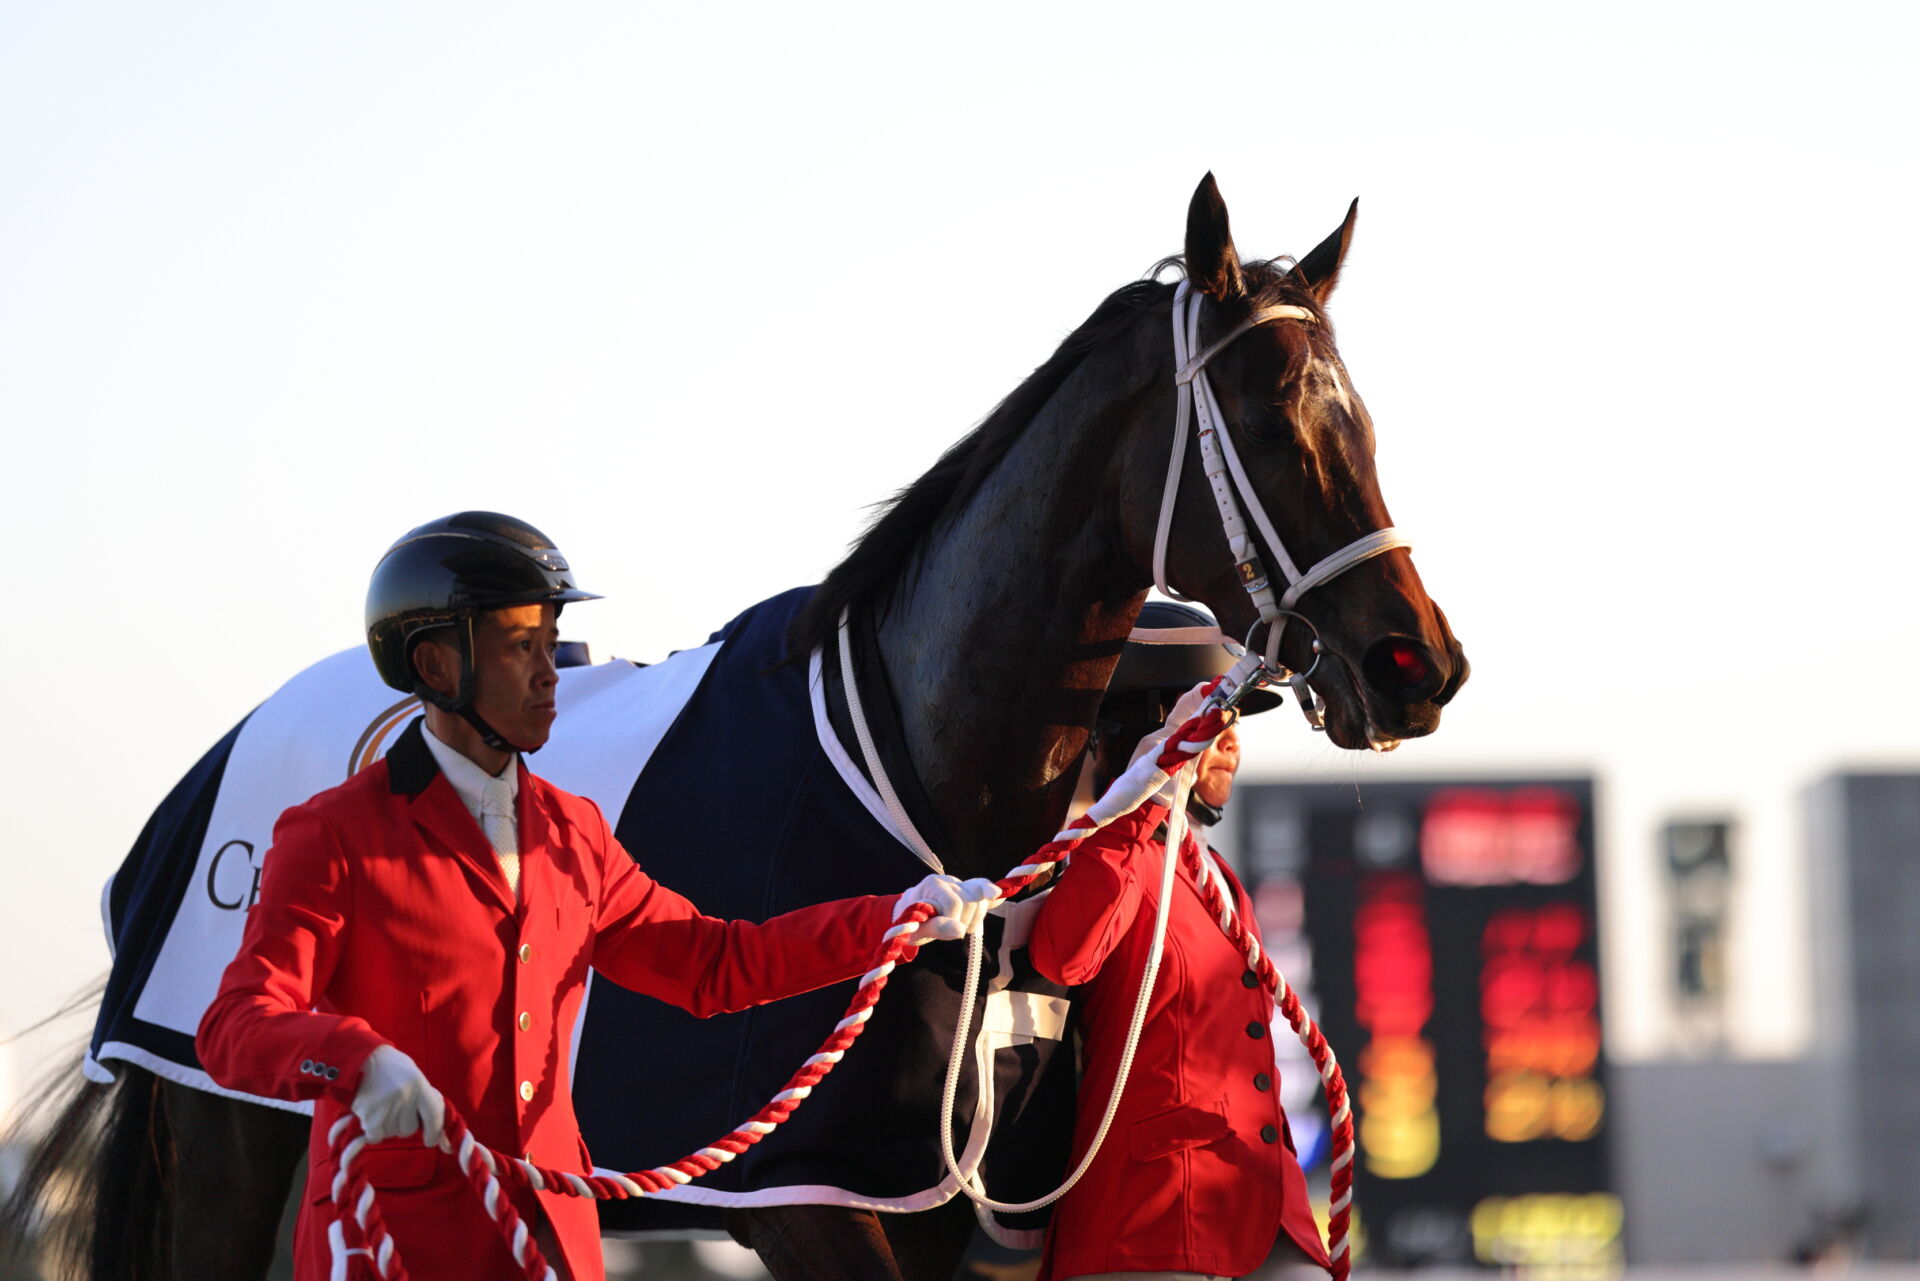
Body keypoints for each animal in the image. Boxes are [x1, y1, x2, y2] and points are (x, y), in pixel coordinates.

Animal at [3, 173, 1465, 1281]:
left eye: (1364, 418)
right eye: (1269, 415)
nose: (1417, 663)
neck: (928, 785)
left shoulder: (963, 1214)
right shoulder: (811, 1202)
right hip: (234, 1134)